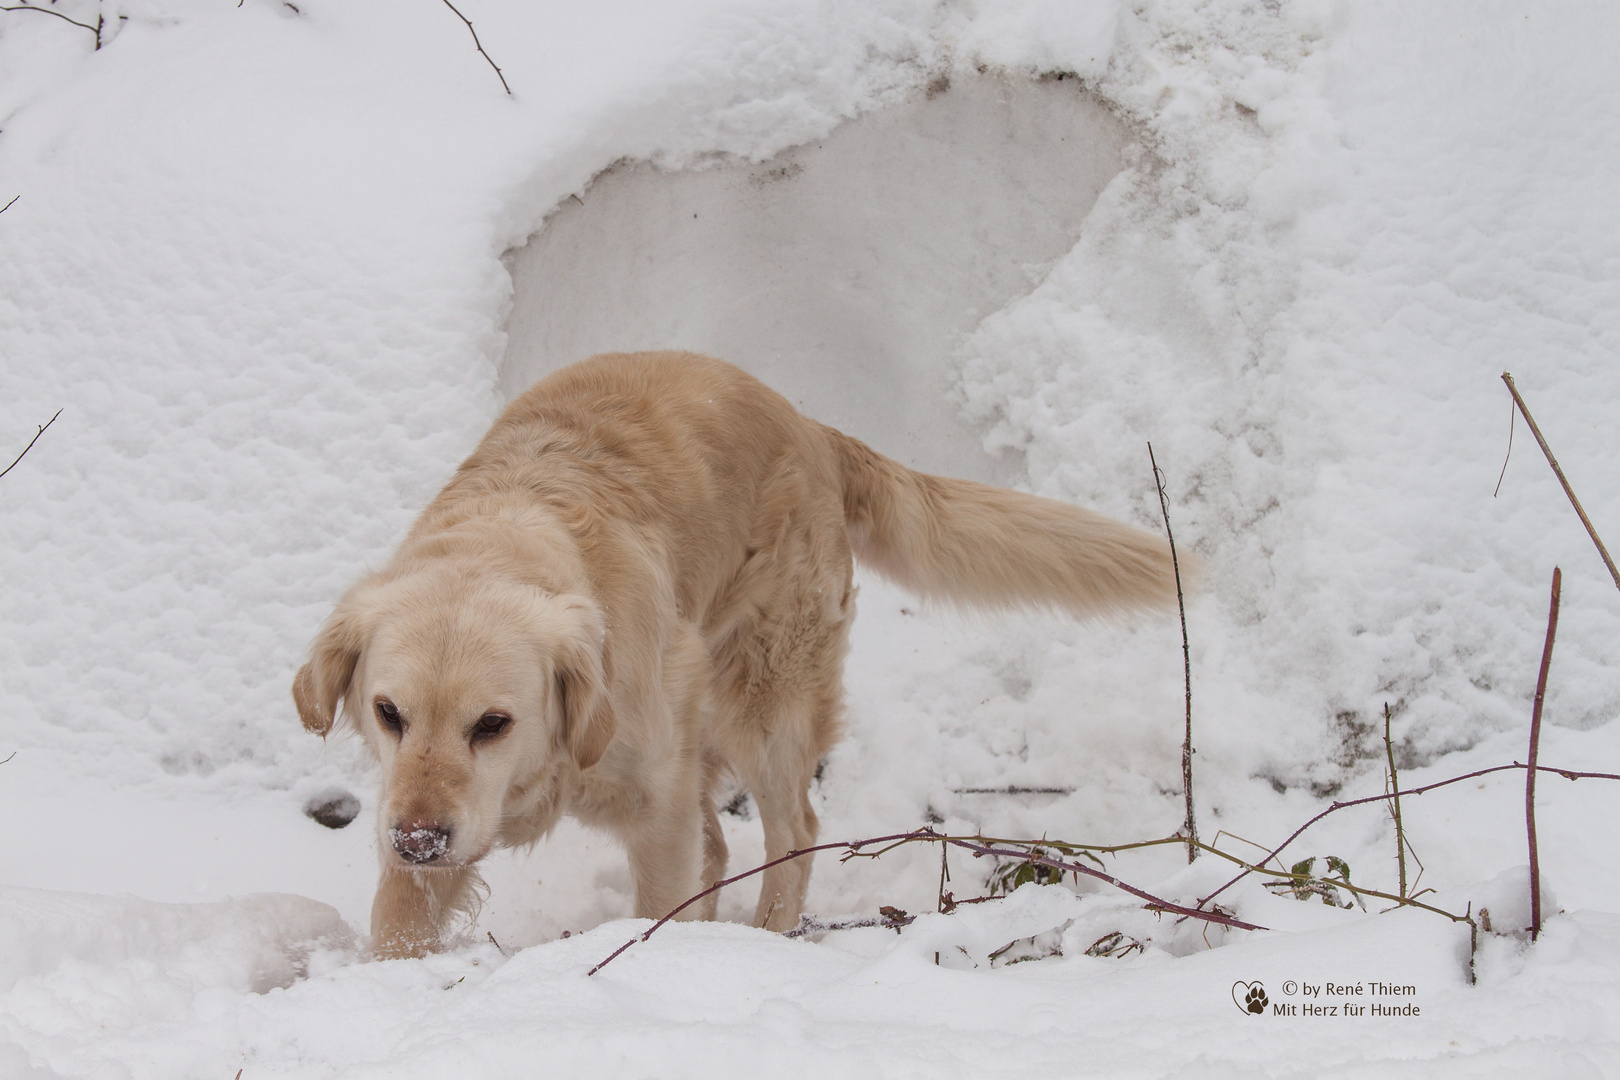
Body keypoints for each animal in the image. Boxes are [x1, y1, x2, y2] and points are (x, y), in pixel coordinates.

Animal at [294, 351, 1179, 958]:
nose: (419, 839)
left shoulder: (654, 803)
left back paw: (767, 941)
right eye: (388, 713)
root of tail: (813, 427)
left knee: (793, 832)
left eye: (493, 723)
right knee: (723, 843)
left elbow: (666, 897)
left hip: (764, 704)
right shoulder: (420, 813)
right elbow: (397, 926)